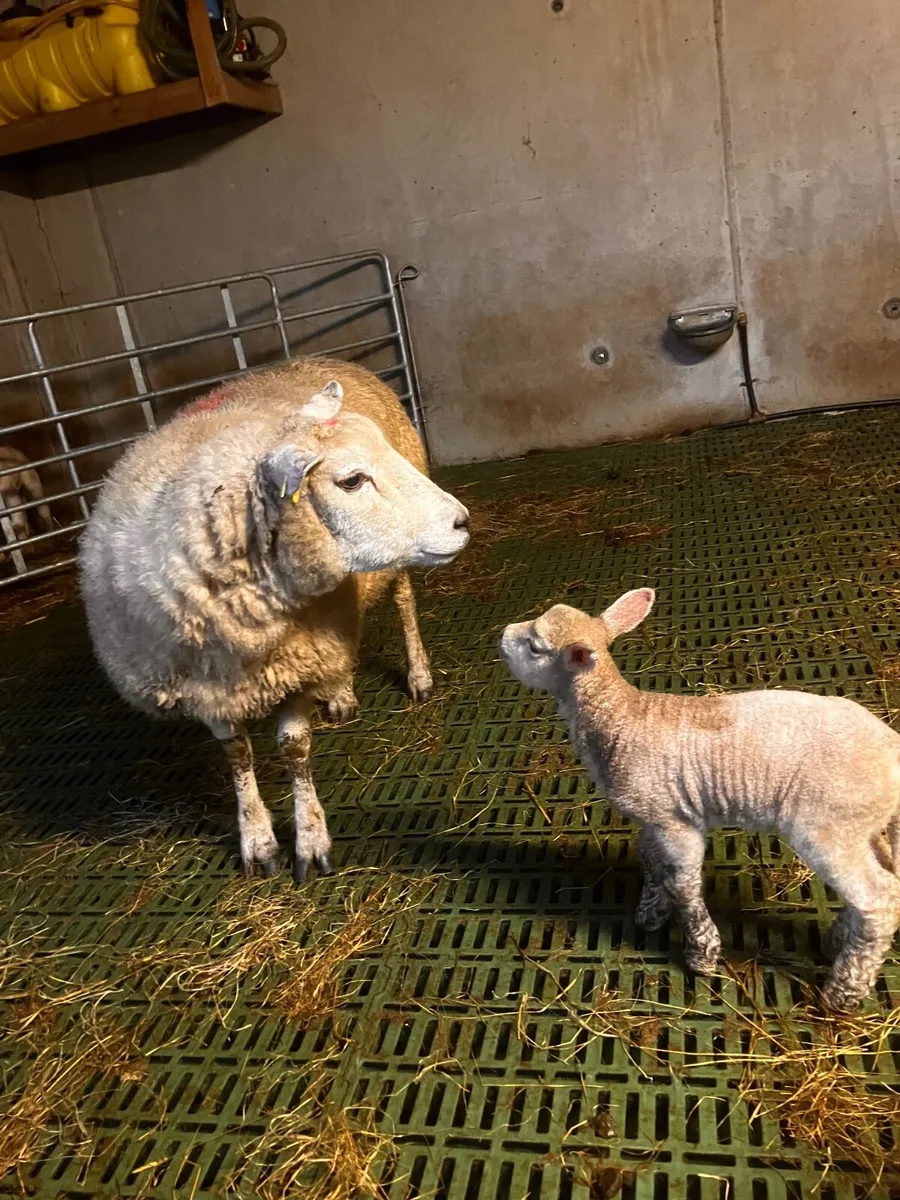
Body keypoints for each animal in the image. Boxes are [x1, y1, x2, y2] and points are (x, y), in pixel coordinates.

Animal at [79, 356, 470, 882]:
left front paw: (310, 840)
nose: (462, 521)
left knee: (405, 604)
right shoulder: (208, 687)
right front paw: (257, 839)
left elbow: (294, 747)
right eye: (351, 480)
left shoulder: (298, 663)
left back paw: (418, 675)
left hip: (392, 571)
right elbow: (237, 755)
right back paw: (341, 695)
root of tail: (318, 359)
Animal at [499, 586, 900, 1012]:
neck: (620, 718)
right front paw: (650, 912)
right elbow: (651, 862)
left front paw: (701, 953)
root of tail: (891, 745)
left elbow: (683, 883)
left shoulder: (678, 823)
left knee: (879, 899)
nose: (503, 634)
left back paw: (843, 991)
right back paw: (836, 943)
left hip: (828, 826)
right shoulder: (655, 813)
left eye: (535, 646)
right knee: (886, 885)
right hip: (863, 826)